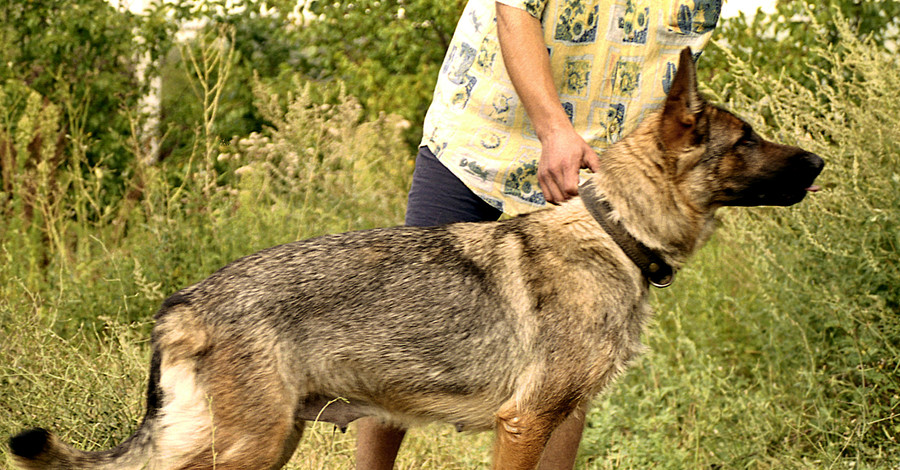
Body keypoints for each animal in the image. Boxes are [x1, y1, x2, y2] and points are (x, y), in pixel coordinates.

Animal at [10, 48, 824, 470]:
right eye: (747, 139)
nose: (820, 161)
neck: (613, 229)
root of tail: (183, 303)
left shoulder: (563, 415)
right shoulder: (523, 422)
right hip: (248, 448)